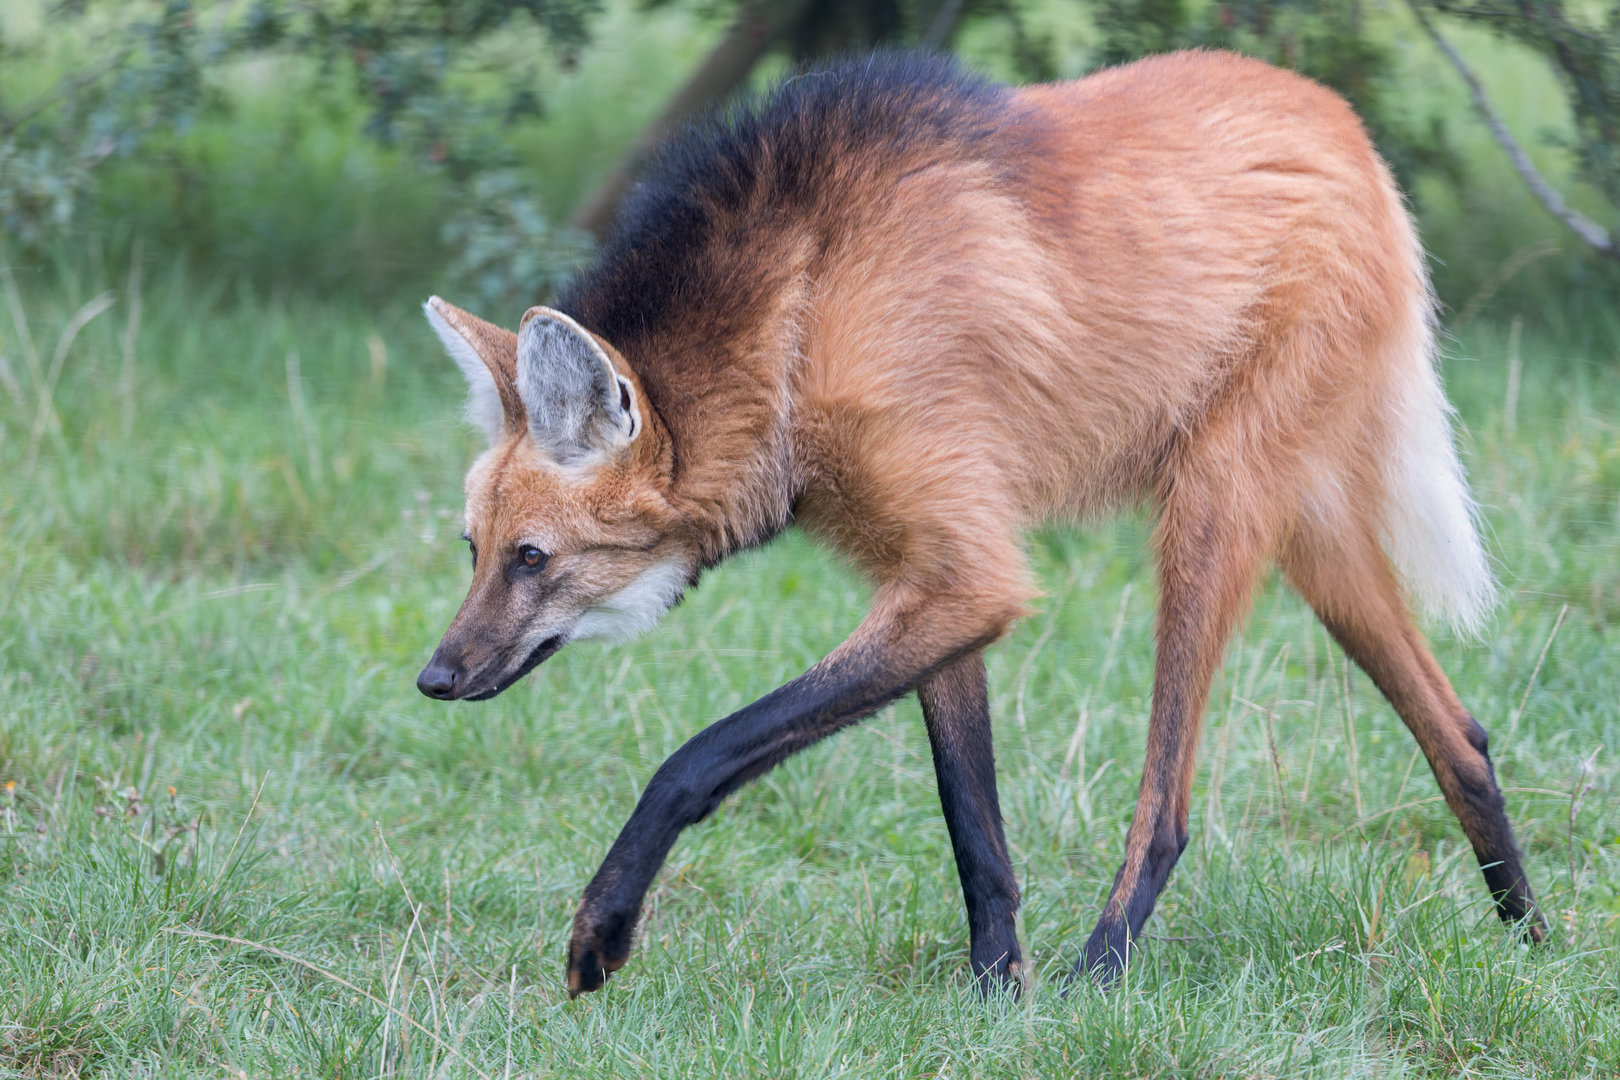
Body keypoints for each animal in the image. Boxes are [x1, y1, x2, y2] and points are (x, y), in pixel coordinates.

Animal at [415, 50, 1545, 996]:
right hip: (1305, 526)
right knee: (1461, 732)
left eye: (532, 559)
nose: (433, 678)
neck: (802, 314)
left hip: (1210, 509)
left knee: (1170, 804)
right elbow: (971, 813)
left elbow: (697, 756)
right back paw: (1535, 941)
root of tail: (1341, 123)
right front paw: (999, 988)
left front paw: (600, 934)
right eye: (474, 552)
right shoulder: (932, 574)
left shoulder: (967, 574)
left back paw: (1102, 973)